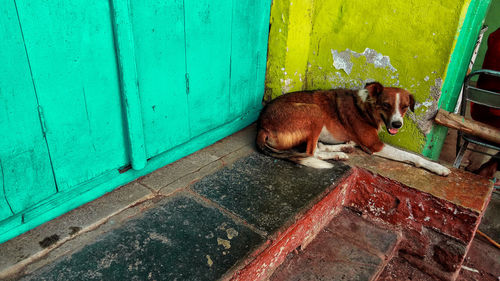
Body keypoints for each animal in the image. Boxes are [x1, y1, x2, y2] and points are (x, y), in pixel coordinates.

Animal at [256, 81, 452, 176]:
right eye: (386, 105)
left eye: (404, 107)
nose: (397, 124)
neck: (367, 106)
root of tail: (262, 126)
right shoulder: (375, 144)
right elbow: (412, 156)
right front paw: (437, 167)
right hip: (315, 111)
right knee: (311, 152)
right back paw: (338, 153)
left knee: (317, 148)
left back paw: (343, 148)